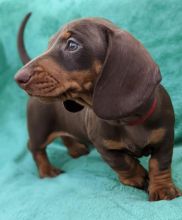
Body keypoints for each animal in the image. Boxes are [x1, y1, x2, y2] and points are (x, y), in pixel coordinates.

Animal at [14, 12, 181, 200]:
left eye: (72, 45)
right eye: (49, 45)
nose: (18, 78)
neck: (127, 121)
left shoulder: (165, 138)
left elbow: (159, 164)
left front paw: (163, 189)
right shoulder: (104, 146)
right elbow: (123, 162)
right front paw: (137, 177)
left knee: (63, 136)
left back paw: (75, 150)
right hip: (40, 127)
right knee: (35, 148)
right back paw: (47, 171)